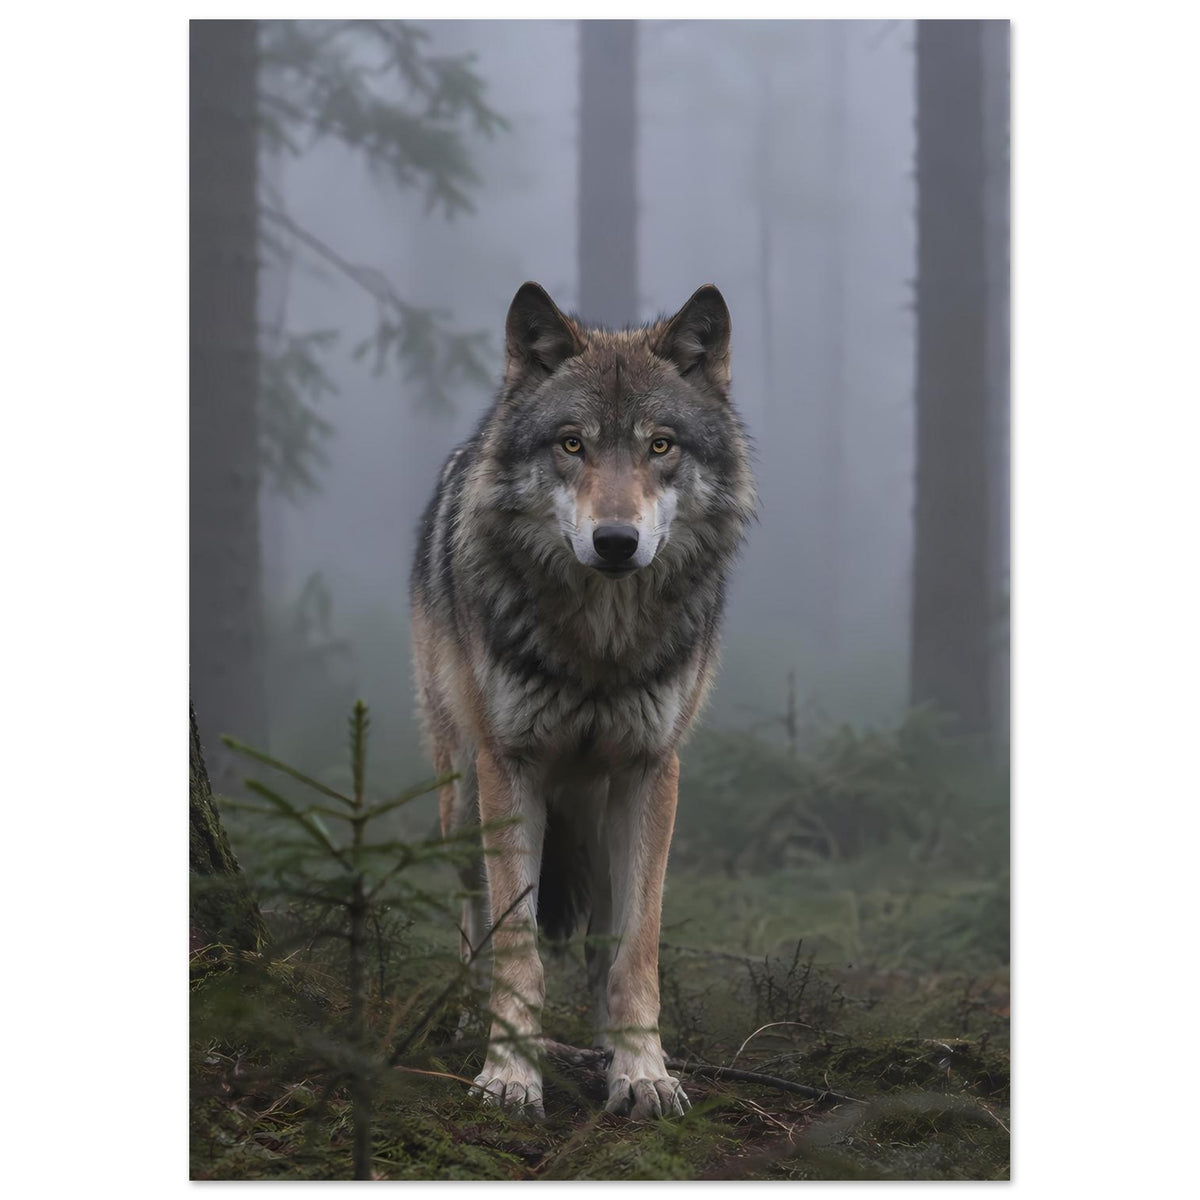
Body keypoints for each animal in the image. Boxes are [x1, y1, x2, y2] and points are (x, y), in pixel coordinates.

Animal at [410, 281, 755, 1120]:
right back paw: (463, 1021)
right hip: (462, 798)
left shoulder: (651, 771)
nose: (616, 542)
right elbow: (517, 948)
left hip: (597, 817)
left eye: (661, 446)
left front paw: (643, 1071)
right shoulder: (512, 767)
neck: (600, 645)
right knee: (472, 919)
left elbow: (637, 951)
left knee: (602, 939)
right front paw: (508, 1074)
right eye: (572, 445)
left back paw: (605, 1047)